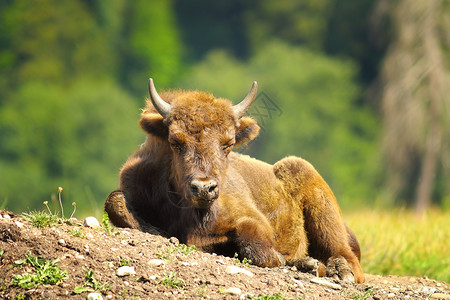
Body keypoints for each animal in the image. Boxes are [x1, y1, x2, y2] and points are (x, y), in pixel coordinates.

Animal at [105, 78, 366, 284]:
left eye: (228, 144)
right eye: (175, 142)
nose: (204, 188)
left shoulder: (252, 219)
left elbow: (257, 246)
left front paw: (292, 260)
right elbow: (116, 203)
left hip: (311, 186)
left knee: (346, 256)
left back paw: (337, 271)